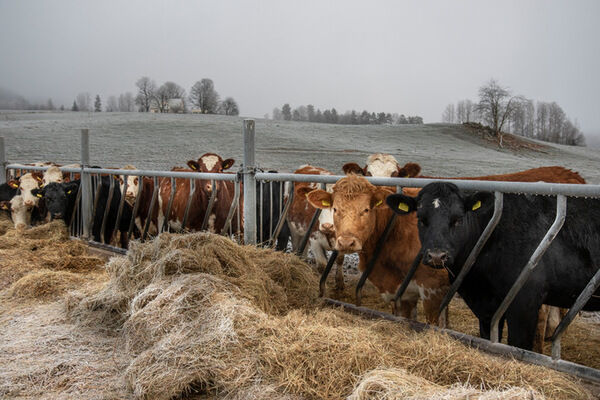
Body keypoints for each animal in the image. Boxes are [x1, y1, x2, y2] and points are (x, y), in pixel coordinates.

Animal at [386, 181, 600, 350]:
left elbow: (519, 345)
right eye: (421, 218)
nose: (437, 256)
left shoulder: (525, 300)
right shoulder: (486, 306)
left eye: (458, 219)